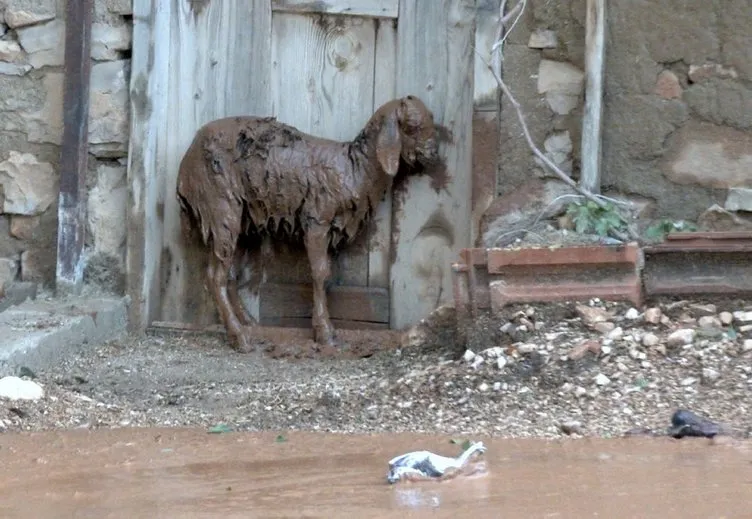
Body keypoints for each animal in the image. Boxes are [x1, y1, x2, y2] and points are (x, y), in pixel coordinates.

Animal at [176, 95, 440, 352]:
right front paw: (324, 333)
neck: (355, 168)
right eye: (413, 126)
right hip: (220, 205)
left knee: (228, 274)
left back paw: (248, 323)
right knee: (214, 276)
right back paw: (239, 336)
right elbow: (320, 273)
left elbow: (326, 273)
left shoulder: (332, 226)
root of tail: (184, 167)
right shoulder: (317, 219)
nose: (435, 153)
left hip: (240, 218)